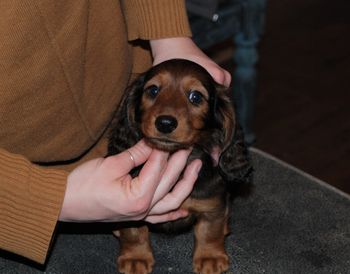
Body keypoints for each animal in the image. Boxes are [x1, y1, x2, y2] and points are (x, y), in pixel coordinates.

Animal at [108, 58, 250, 272]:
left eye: (195, 96)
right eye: (153, 90)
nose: (165, 123)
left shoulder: (212, 204)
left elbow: (210, 231)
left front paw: (210, 257)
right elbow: (134, 231)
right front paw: (135, 257)